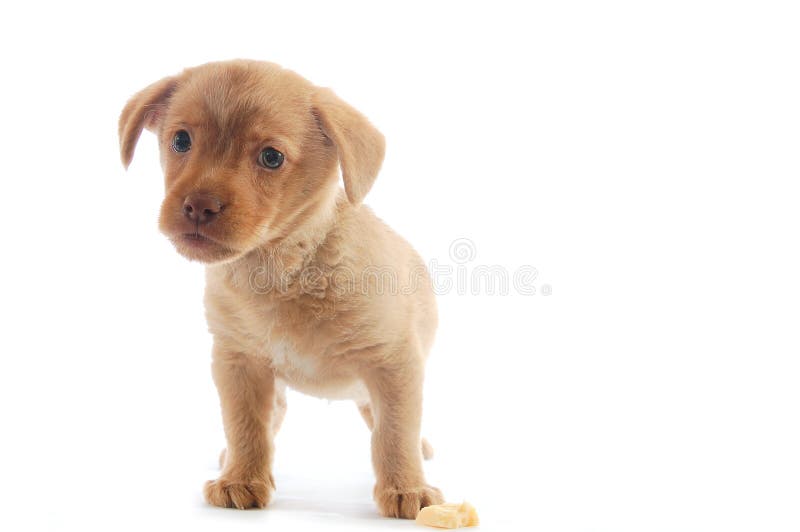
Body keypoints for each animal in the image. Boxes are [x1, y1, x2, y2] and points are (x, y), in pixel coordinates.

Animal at [119, 60, 444, 516]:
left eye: (271, 157)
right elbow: (246, 425)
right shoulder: (238, 363)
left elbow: (394, 432)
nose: (198, 206)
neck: (280, 270)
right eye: (181, 140)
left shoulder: (393, 362)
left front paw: (406, 488)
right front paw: (241, 477)